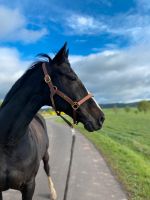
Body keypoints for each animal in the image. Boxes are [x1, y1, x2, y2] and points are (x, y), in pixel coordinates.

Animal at [0, 43, 104, 200]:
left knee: (47, 169)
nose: (101, 117)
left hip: (46, 155)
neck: (8, 144)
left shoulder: (29, 186)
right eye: (72, 77)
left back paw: (53, 192)